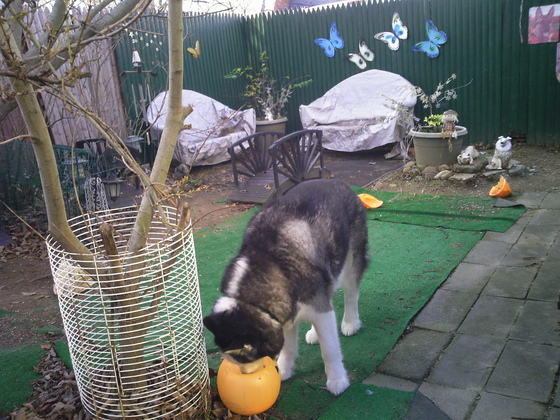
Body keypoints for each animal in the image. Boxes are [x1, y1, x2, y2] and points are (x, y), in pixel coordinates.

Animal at [203, 179, 370, 396]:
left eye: (244, 358)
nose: (245, 376)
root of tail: (336, 181)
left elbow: (330, 350)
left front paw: (337, 380)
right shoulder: (284, 311)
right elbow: (288, 346)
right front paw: (283, 369)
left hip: (351, 259)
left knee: (351, 293)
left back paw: (350, 322)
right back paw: (315, 333)